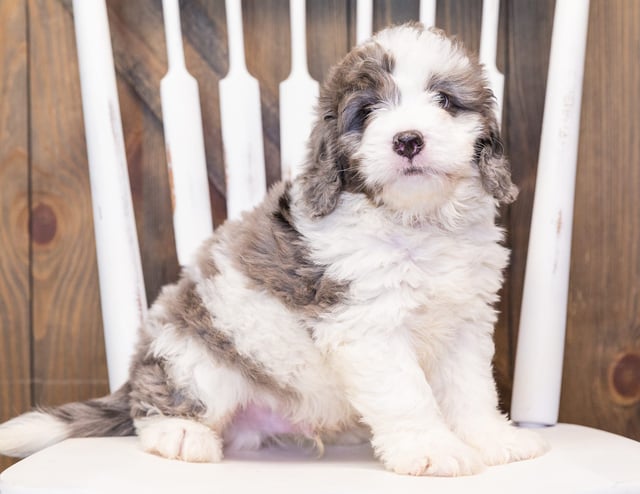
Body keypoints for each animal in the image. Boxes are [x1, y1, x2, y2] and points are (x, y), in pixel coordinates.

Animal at [1, 23, 552, 474]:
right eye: (367, 112)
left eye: (445, 100)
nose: (408, 140)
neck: (416, 222)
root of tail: (138, 365)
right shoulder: (366, 324)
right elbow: (407, 394)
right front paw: (432, 449)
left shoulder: (464, 322)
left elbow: (471, 391)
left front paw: (495, 442)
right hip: (195, 360)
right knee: (155, 405)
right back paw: (180, 434)